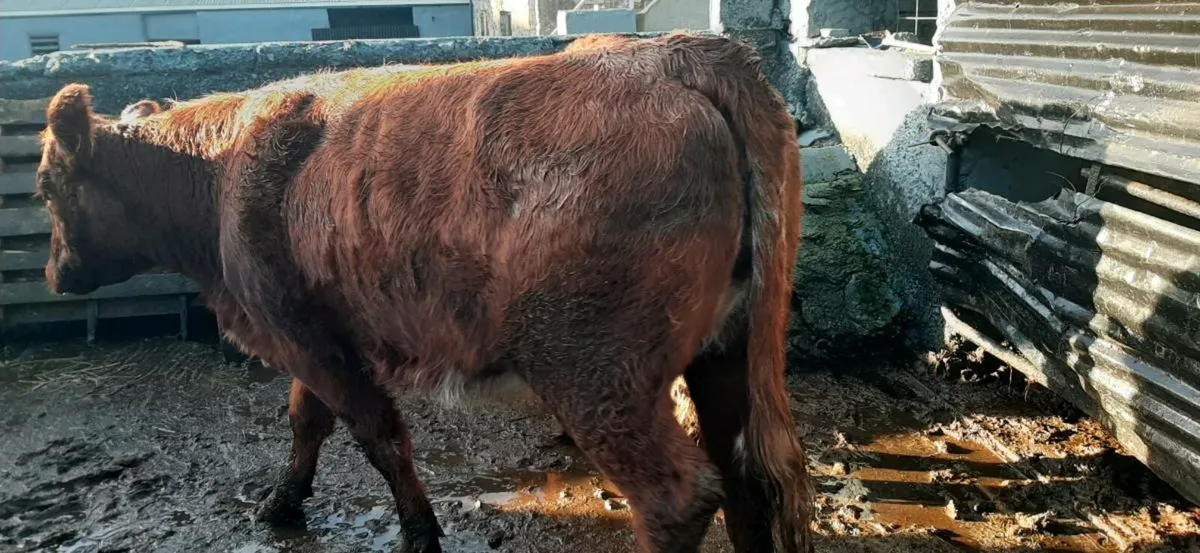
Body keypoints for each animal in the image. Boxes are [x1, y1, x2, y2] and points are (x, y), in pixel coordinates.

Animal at [36, 33, 812, 553]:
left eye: (44, 186)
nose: (54, 276)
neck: (219, 169)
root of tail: (670, 54)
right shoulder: (316, 334)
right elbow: (306, 420)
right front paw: (284, 501)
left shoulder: (304, 337)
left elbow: (378, 435)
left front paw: (418, 531)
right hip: (723, 356)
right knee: (746, 477)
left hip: (595, 373)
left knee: (675, 496)